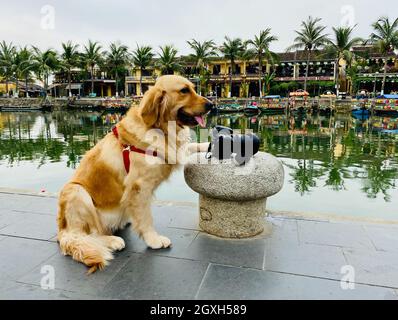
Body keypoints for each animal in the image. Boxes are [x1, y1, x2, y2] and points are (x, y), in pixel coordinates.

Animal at [56, 74, 211, 272]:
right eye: (184, 91)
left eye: (193, 87)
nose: (212, 105)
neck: (160, 127)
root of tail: (62, 230)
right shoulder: (140, 187)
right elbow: (146, 218)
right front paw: (154, 240)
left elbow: (191, 145)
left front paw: (211, 143)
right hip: (76, 191)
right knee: (86, 235)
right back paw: (113, 240)